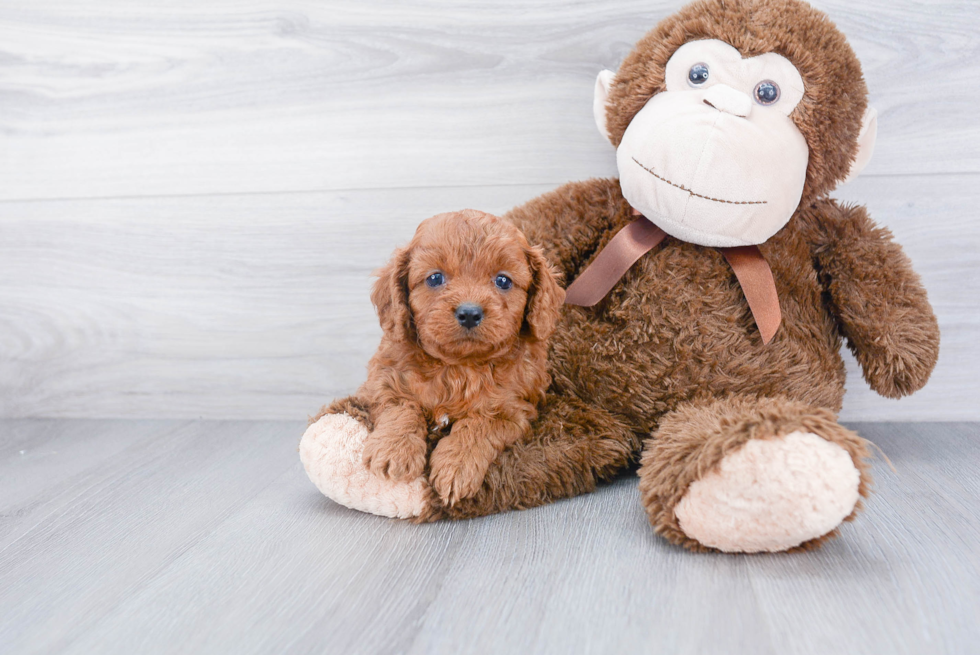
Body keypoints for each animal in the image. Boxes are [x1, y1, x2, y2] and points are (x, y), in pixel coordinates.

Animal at [342, 210, 560, 508]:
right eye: (435, 278)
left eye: (503, 281)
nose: (469, 313)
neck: (458, 366)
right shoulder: (380, 380)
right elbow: (401, 403)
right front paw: (394, 450)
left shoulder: (514, 408)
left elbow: (479, 425)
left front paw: (456, 467)